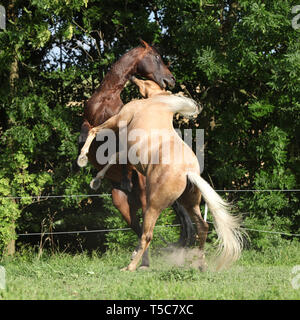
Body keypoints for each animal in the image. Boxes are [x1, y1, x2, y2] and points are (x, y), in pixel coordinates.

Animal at [77, 79, 244, 272]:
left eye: (146, 81)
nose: (134, 79)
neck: (159, 103)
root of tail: (188, 172)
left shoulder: (120, 119)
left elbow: (96, 133)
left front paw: (84, 162)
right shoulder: (128, 152)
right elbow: (114, 157)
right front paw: (96, 179)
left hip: (154, 205)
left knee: (147, 234)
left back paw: (131, 266)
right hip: (189, 203)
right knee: (202, 227)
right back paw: (201, 264)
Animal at [78, 38, 193, 266]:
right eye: (156, 57)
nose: (171, 79)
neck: (106, 97)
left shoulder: (119, 129)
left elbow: (117, 150)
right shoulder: (87, 121)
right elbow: (86, 131)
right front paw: (82, 158)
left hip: (146, 201)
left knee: (146, 232)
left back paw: (143, 264)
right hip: (122, 205)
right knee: (139, 229)